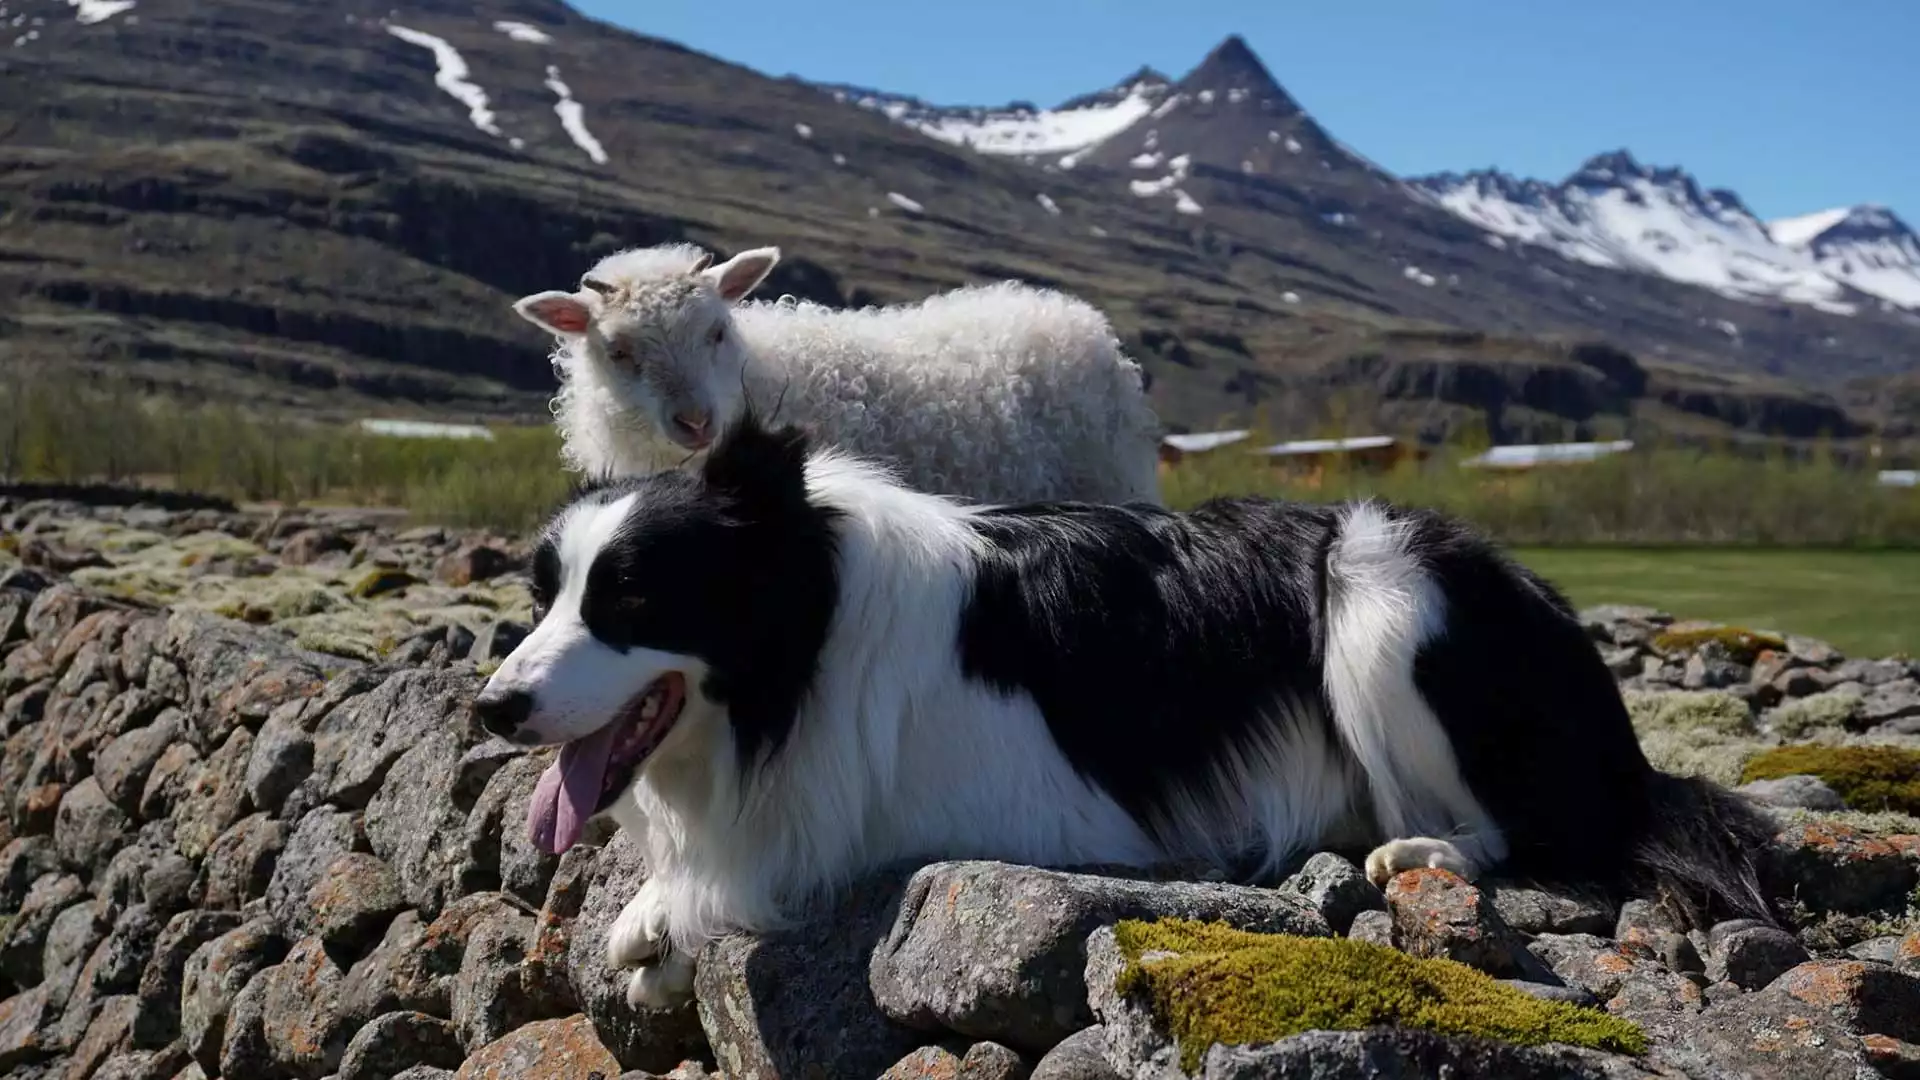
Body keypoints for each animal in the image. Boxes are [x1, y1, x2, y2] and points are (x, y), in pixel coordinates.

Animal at [472, 405, 1774, 999]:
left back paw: (1418, 852)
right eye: (541, 595)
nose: (493, 710)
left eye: (633, 597)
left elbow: (750, 865)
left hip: (1379, 592)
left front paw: (662, 914)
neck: (811, 635)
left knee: (1523, 829)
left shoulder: (998, 808)